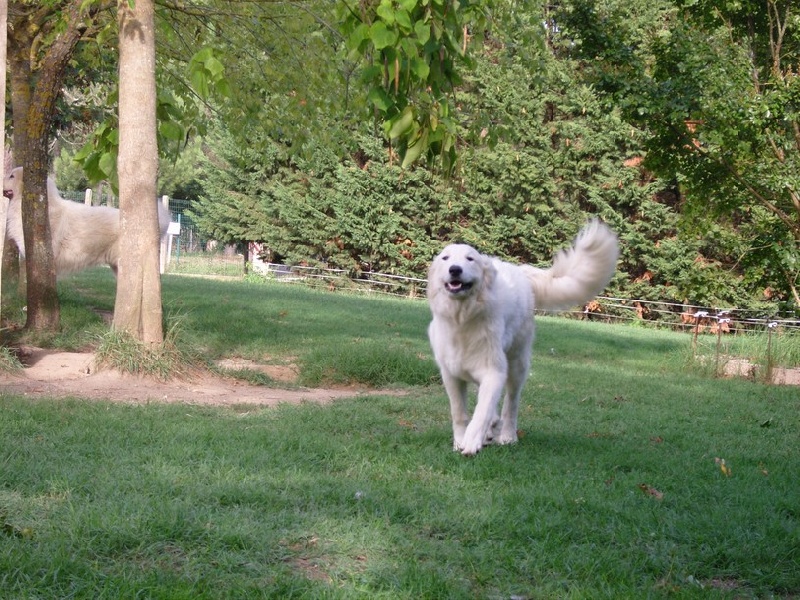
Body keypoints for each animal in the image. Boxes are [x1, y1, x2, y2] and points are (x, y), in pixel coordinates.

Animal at [424, 219, 620, 454]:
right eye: (445, 258)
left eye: (470, 259)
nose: (455, 269)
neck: (462, 319)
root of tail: (521, 271)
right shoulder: (451, 374)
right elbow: (459, 413)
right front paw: (460, 441)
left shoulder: (493, 371)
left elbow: (481, 411)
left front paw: (471, 442)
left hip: (516, 364)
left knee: (511, 404)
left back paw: (507, 435)